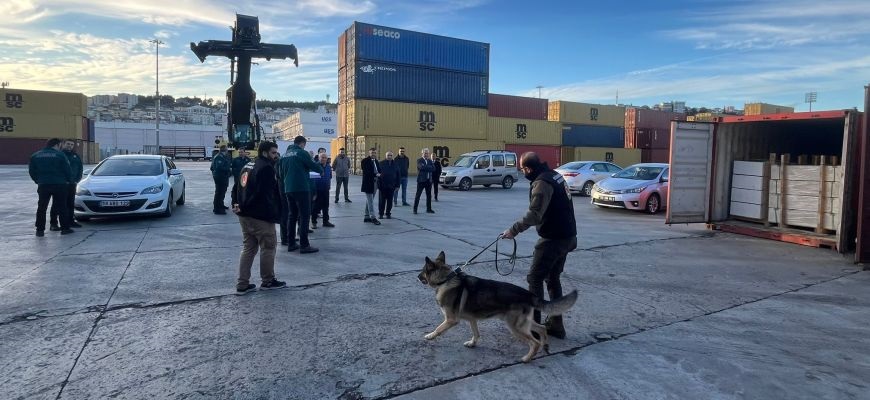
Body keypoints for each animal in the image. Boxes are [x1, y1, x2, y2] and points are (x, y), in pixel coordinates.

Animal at [420, 252, 580, 364]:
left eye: (423, 271)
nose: (417, 276)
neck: (445, 280)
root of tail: (529, 294)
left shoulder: (451, 320)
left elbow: (438, 328)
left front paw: (430, 336)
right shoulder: (472, 319)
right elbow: (476, 333)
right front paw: (473, 343)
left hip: (515, 327)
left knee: (535, 343)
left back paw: (527, 358)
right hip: (523, 323)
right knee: (542, 328)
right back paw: (545, 345)